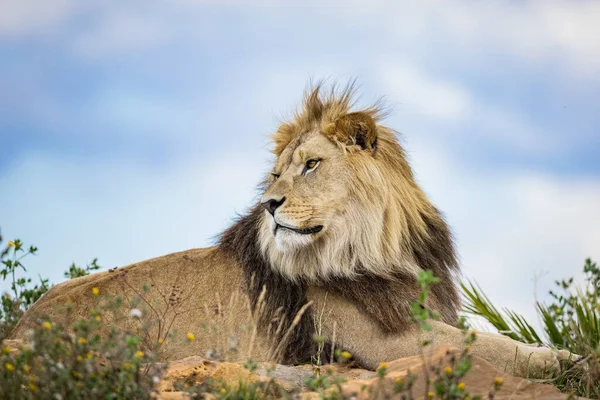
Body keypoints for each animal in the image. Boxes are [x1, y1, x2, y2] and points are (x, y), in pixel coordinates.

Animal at [8, 82, 572, 378]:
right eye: (277, 174)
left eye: (310, 166)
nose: (269, 203)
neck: (374, 247)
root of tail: (18, 328)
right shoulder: (378, 340)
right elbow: (491, 345)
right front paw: (568, 358)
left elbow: (490, 337)